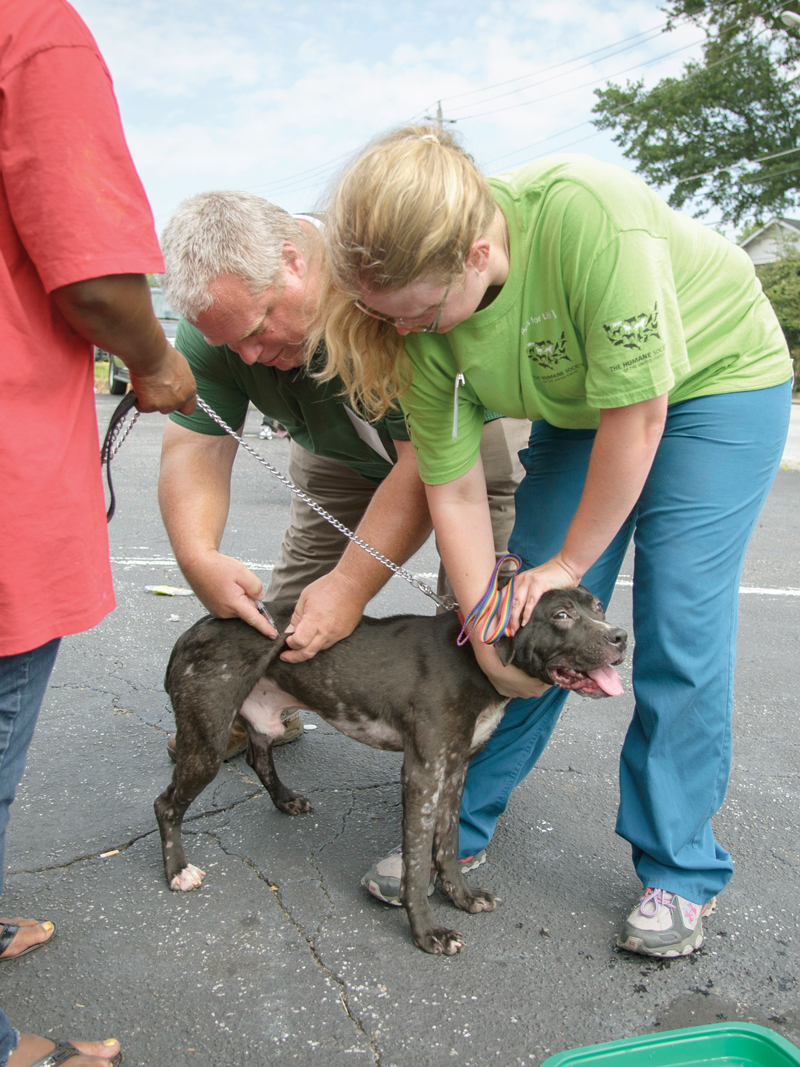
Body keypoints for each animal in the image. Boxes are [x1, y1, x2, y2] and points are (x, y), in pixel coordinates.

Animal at [154, 588, 627, 956]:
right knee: (165, 805)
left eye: (599, 606)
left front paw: (462, 896)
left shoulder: (455, 771)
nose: (621, 636)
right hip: (206, 744)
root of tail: (194, 629)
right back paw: (178, 870)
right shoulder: (422, 774)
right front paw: (428, 932)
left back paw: (285, 799)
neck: (471, 659)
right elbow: (416, 866)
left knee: (258, 758)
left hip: (259, 717)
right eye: (561, 615)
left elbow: (447, 847)